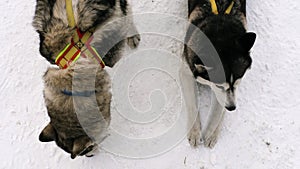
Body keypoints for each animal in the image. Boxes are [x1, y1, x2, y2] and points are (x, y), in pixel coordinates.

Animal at [183, 0, 255, 148]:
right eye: (219, 86)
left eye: (237, 83)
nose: (232, 108)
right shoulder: (186, 70)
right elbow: (192, 104)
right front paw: (194, 132)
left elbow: (219, 108)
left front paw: (211, 132)